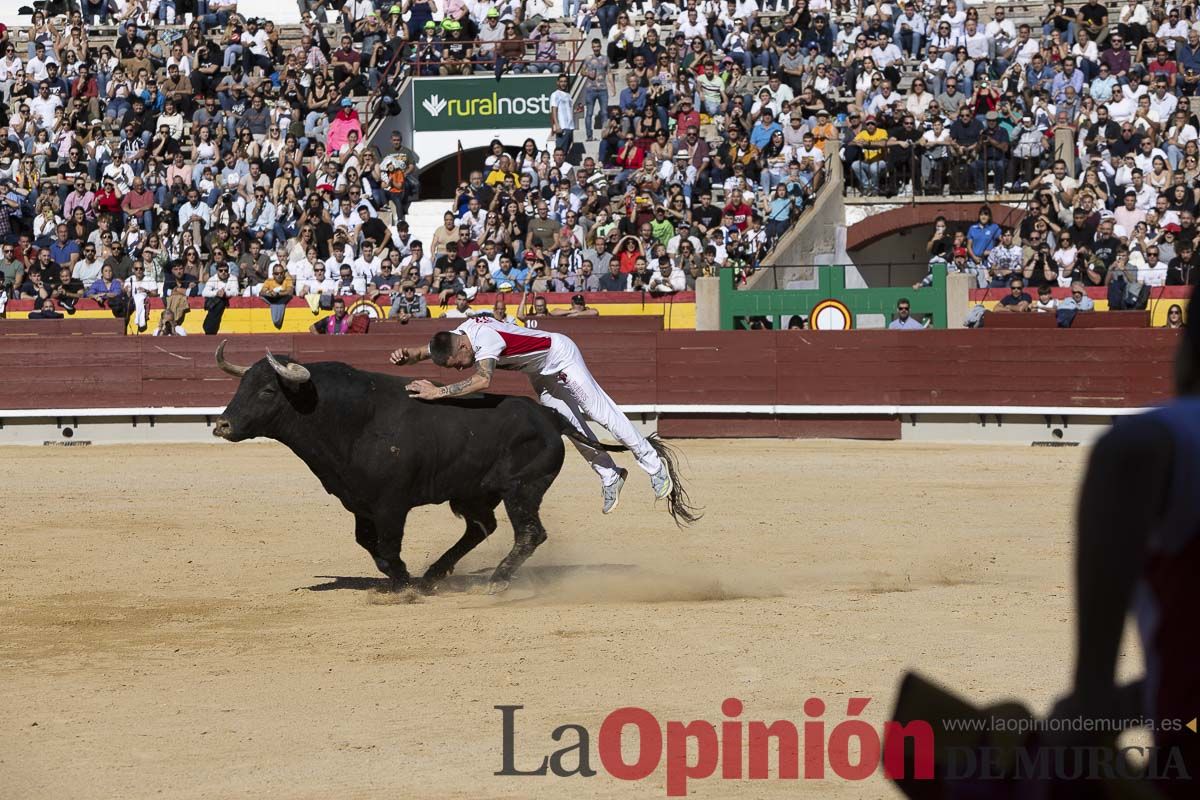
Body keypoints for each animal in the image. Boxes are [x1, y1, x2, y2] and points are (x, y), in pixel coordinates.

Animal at [206, 340, 696, 592]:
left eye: (267, 391)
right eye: (242, 386)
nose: (223, 425)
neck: (344, 417)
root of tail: (549, 416)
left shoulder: (391, 505)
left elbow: (387, 548)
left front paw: (402, 582)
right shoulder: (359, 502)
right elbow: (370, 545)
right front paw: (406, 579)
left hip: (522, 489)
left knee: (529, 533)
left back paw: (495, 581)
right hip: (473, 492)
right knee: (483, 528)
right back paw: (436, 574)